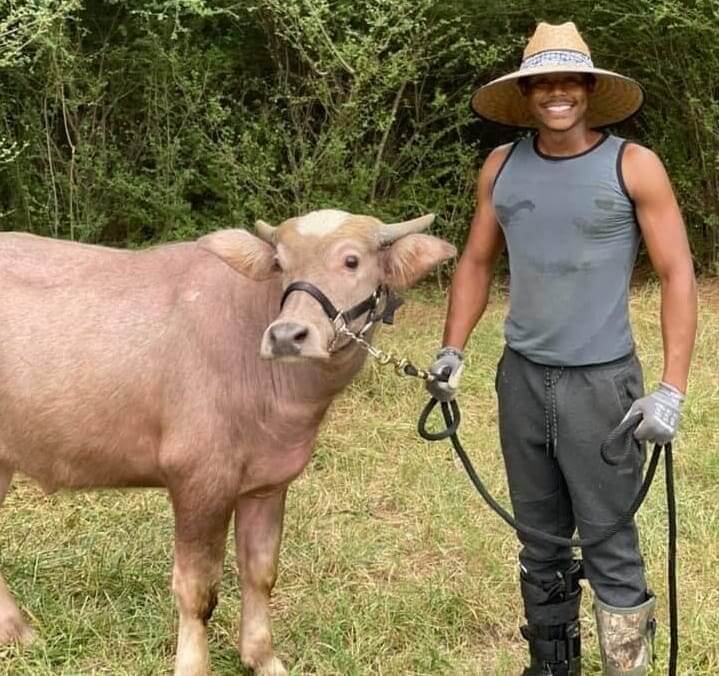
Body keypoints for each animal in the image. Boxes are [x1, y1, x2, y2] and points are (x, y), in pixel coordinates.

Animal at [0, 209, 455, 675]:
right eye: (281, 264)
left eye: (352, 261)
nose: (287, 335)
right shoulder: (200, 480)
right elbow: (197, 590)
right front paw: (193, 665)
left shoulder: (267, 484)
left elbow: (261, 572)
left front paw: (261, 656)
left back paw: (15, 631)